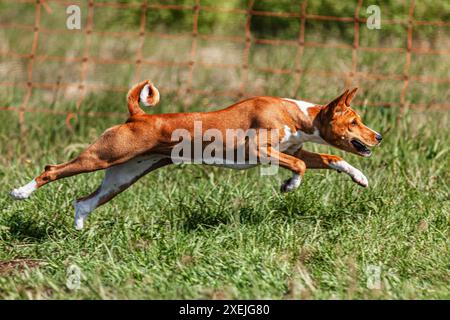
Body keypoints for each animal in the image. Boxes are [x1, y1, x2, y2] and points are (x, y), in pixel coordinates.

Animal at [10, 80, 382, 230]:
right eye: (354, 121)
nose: (378, 136)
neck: (297, 116)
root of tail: (137, 115)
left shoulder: (293, 148)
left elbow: (331, 160)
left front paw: (361, 177)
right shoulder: (258, 149)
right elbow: (300, 166)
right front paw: (289, 186)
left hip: (123, 176)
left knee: (83, 201)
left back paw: (79, 230)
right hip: (102, 157)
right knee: (51, 169)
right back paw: (20, 192)